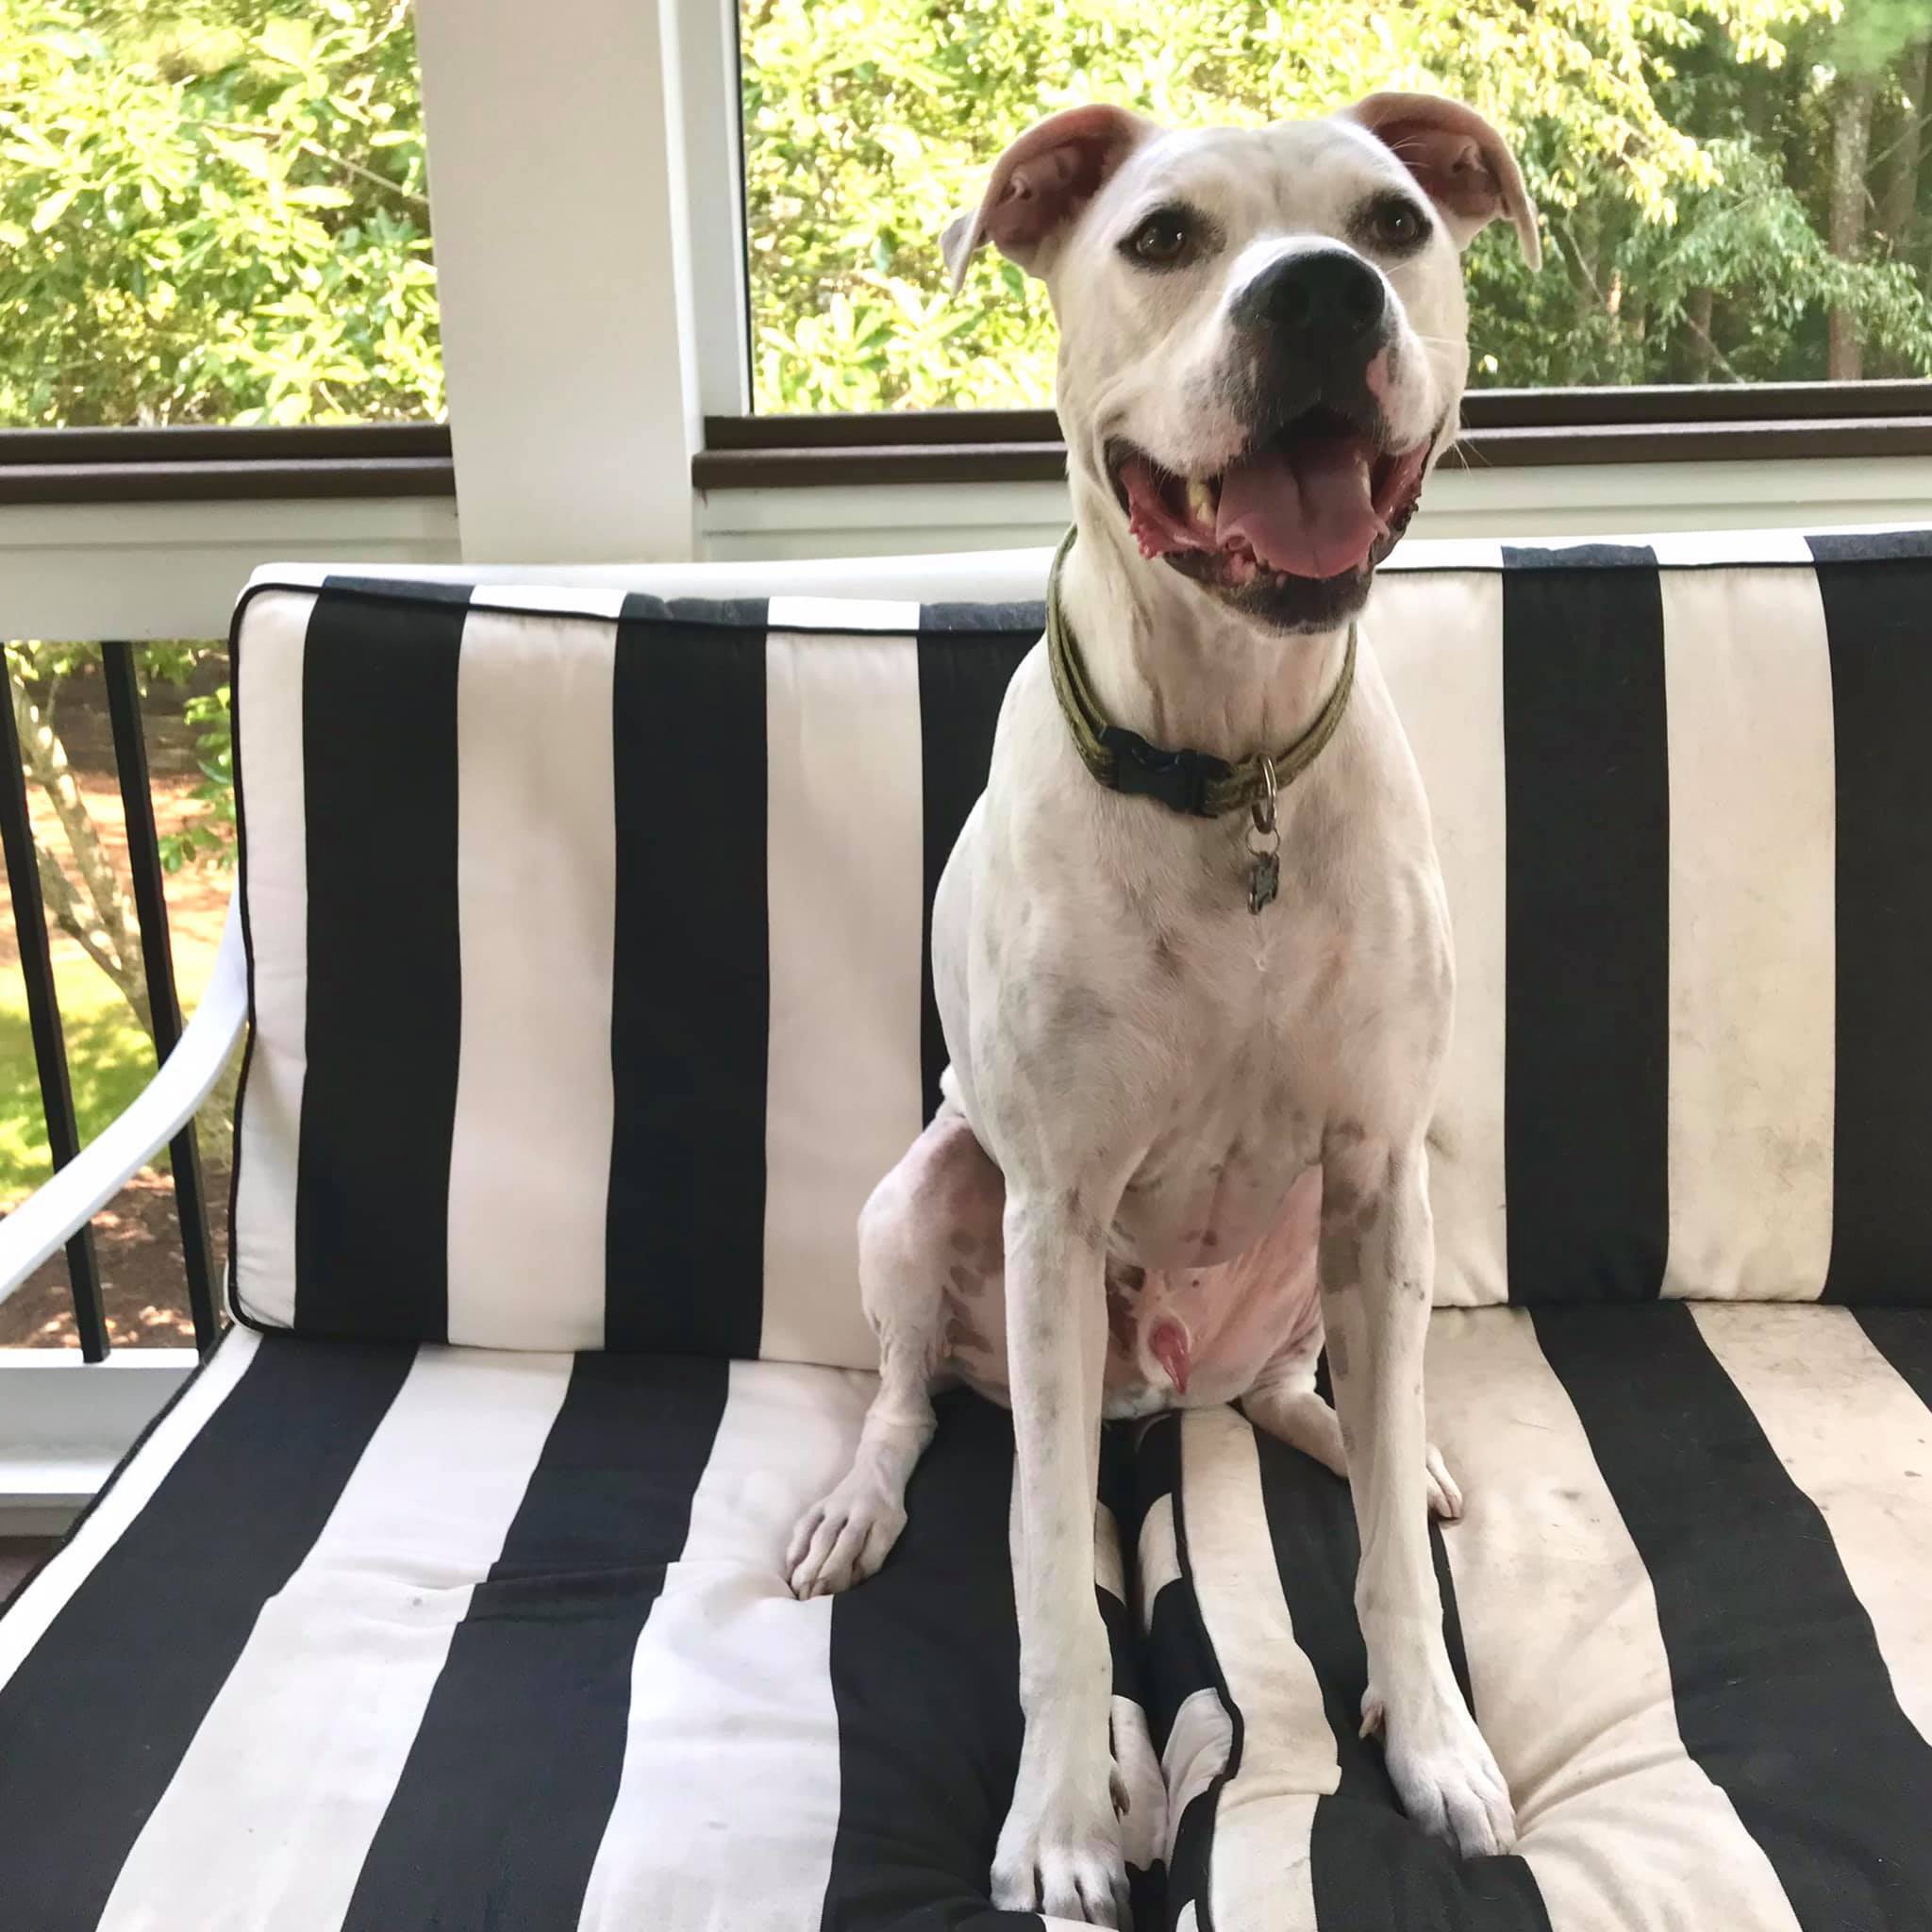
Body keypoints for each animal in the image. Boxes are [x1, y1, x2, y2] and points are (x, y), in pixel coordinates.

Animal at [784, 87, 1538, 1916]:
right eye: (1163, 237)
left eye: (1395, 221)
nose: (1324, 293)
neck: (1230, 761)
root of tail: (1163, 1388)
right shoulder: (1053, 1211)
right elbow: (1053, 1573)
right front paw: (1061, 1823)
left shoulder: (1376, 1164)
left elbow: (1388, 1568)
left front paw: (1432, 1743)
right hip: (924, 1203)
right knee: (907, 1398)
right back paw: (859, 1502)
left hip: (1357, 1243)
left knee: (1311, 1386)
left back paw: (1375, 1437)